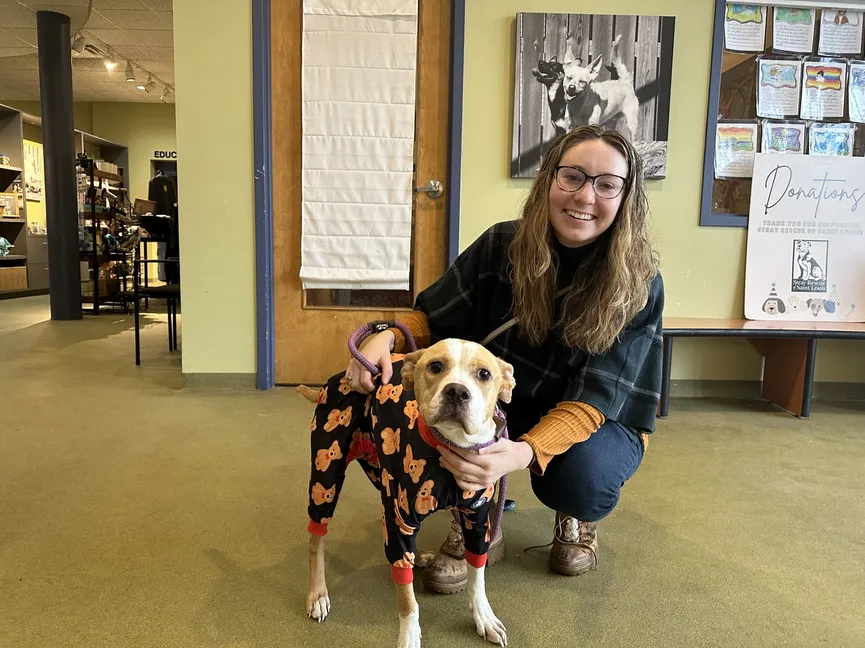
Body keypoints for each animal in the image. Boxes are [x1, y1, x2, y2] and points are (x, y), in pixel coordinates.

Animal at [298, 340, 512, 648]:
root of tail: (339, 377)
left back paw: (418, 557)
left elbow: (477, 575)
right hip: (326, 474)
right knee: (317, 537)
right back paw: (317, 593)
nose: (457, 391)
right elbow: (408, 600)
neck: (449, 447)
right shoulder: (399, 518)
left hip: (381, 474)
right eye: (436, 366)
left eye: (484, 374)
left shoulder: (477, 519)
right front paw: (409, 636)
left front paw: (483, 616)